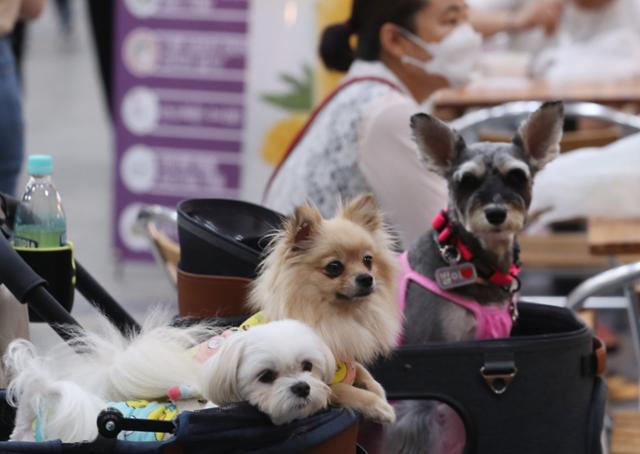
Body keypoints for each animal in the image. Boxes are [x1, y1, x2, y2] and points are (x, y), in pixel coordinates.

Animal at [249, 193, 400, 424]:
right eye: (334, 267)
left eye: (368, 260)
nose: (367, 278)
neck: (336, 317)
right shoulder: (319, 384)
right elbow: (348, 390)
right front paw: (379, 406)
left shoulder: (347, 354)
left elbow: (363, 372)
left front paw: (378, 390)